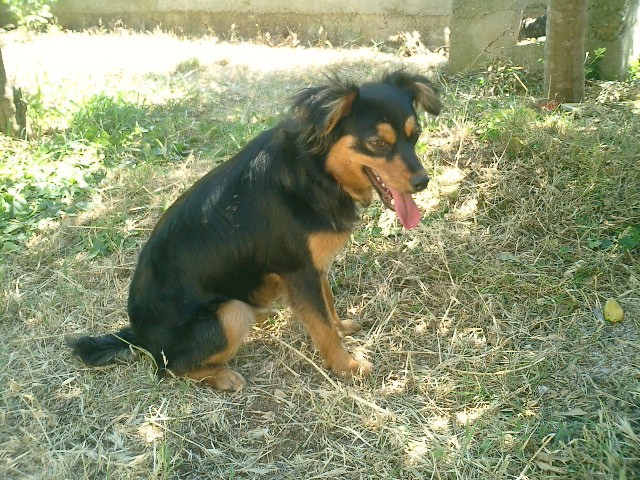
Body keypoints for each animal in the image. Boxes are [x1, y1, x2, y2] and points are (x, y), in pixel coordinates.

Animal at [67, 71, 442, 390]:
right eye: (378, 143)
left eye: (415, 136)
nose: (423, 182)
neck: (315, 172)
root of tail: (139, 335)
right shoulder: (298, 270)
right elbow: (321, 327)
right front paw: (346, 367)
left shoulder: (311, 266)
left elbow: (327, 304)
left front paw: (342, 327)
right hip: (229, 313)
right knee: (167, 369)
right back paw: (221, 376)